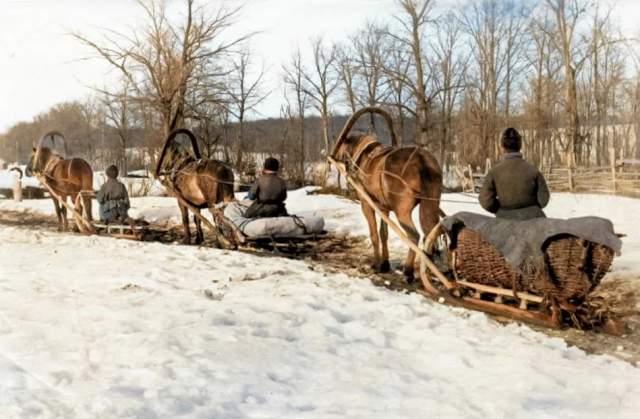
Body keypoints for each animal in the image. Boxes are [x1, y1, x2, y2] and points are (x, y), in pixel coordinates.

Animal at [330, 108, 440, 284]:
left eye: (341, 145)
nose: (333, 157)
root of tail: (422, 159)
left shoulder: (367, 204)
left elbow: (374, 234)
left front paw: (376, 264)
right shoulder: (383, 208)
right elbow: (384, 234)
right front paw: (385, 263)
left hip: (402, 211)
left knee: (414, 236)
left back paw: (408, 271)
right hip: (431, 203)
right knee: (430, 234)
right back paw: (429, 271)